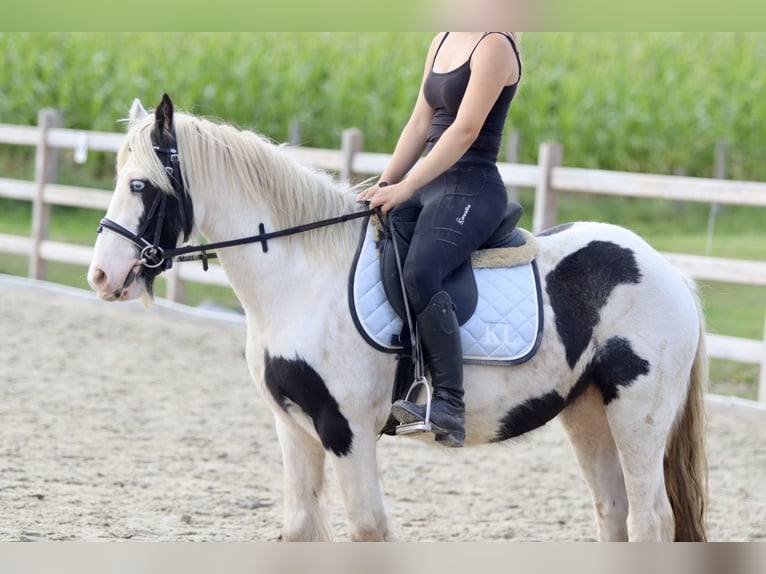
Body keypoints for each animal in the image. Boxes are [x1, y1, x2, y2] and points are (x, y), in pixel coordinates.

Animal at [88, 95, 708, 544]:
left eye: (139, 185)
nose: (101, 275)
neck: (301, 279)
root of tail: (669, 271)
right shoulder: (293, 427)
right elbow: (300, 530)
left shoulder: (346, 431)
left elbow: (369, 530)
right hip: (587, 412)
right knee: (613, 513)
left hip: (637, 415)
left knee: (650, 521)